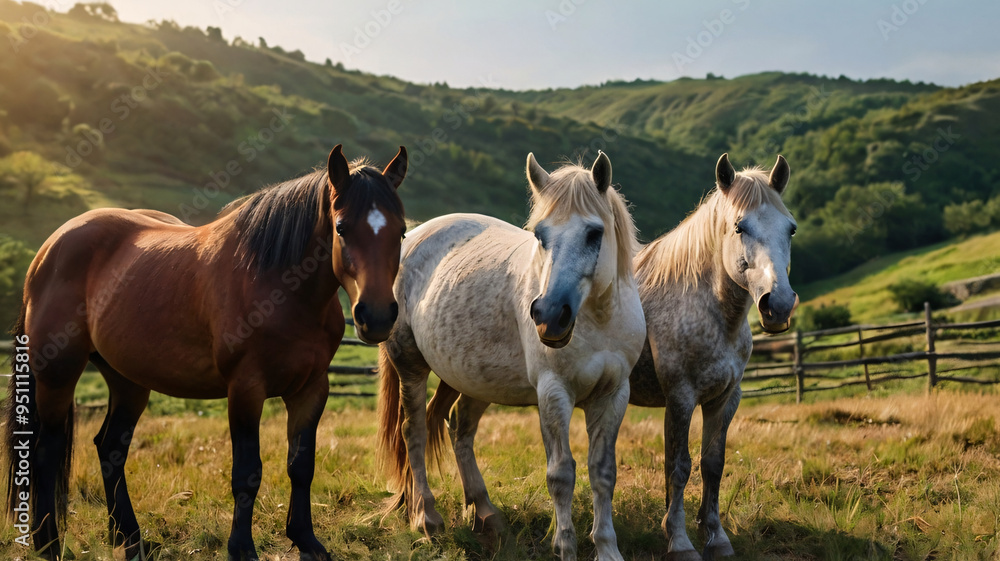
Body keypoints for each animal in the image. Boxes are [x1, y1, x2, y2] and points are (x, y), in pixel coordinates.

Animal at [3, 144, 408, 561]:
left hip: (128, 380)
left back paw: (130, 538)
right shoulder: (246, 389)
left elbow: (301, 465)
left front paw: (306, 540)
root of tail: (49, 250)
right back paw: (48, 543)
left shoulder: (311, 390)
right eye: (341, 227)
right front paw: (242, 548)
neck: (277, 284)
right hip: (58, 374)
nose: (377, 316)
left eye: (402, 230)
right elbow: (247, 472)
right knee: (46, 450)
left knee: (110, 447)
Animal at [376, 151, 646, 561]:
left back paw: (485, 513)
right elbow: (561, 474)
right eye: (540, 235)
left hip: (472, 379)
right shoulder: (554, 393)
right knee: (414, 431)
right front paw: (564, 547)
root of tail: (415, 237)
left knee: (459, 429)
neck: (599, 319)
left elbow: (603, 472)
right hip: (411, 366)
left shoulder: (613, 395)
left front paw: (607, 549)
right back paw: (426, 517)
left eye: (593, 233)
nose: (549, 315)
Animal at [628, 154, 797, 560]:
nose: (779, 305)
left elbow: (712, 464)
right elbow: (678, 466)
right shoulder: (681, 397)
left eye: (791, 229)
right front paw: (679, 541)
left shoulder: (724, 398)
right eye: (739, 226)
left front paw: (715, 535)